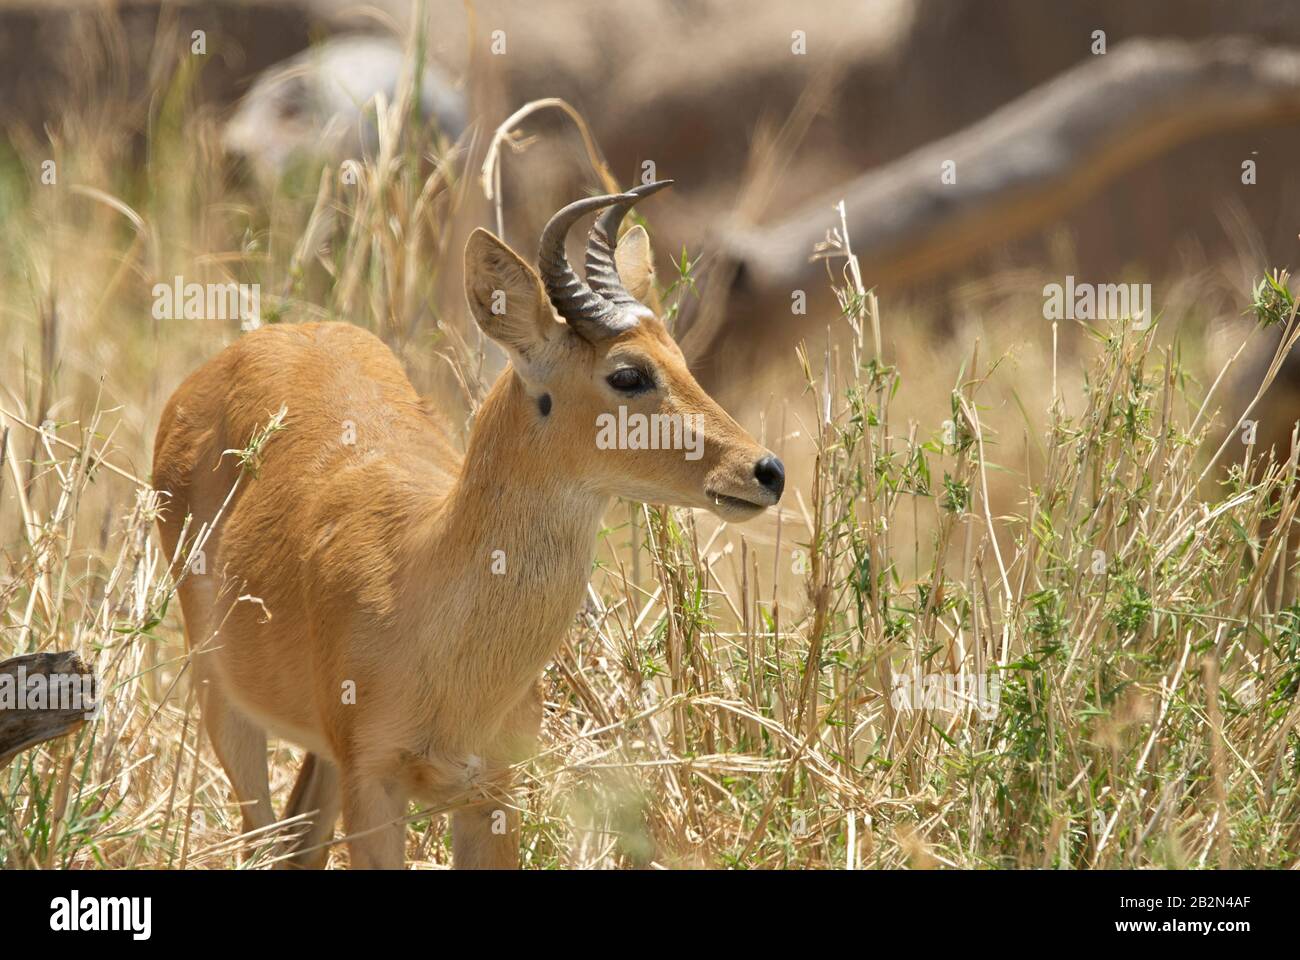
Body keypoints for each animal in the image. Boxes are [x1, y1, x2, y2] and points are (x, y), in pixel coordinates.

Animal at [152, 180, 780, 868]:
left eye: (682, 359)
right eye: (628, 373)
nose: (765, 470)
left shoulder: (493, 791)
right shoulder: (373, 785)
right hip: (223, 701)